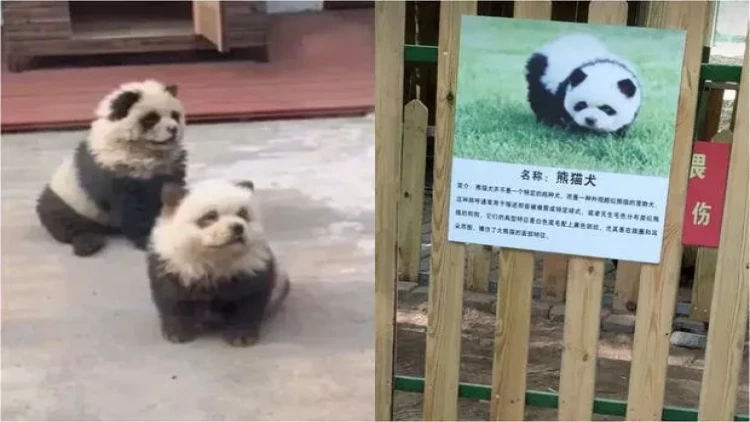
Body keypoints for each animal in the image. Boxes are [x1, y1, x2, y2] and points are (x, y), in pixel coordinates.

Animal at [35, 79, 188, 257]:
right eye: (151, 119)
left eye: (174, 115)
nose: (173, 129)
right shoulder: (115, 169)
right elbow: (132, 208)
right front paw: (146, 238)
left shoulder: (171, 166)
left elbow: (173, 190)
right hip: (67, 199)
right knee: (63, 221)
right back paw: (87, 243)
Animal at [147, 179, 291, 347]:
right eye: (210, 216)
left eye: (242, 213)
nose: (238, 227)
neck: (216, 258)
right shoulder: (172, 265)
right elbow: (172, 299)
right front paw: (177, 333)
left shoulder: (251, 267)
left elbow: (247, 300)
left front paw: (241, 336)